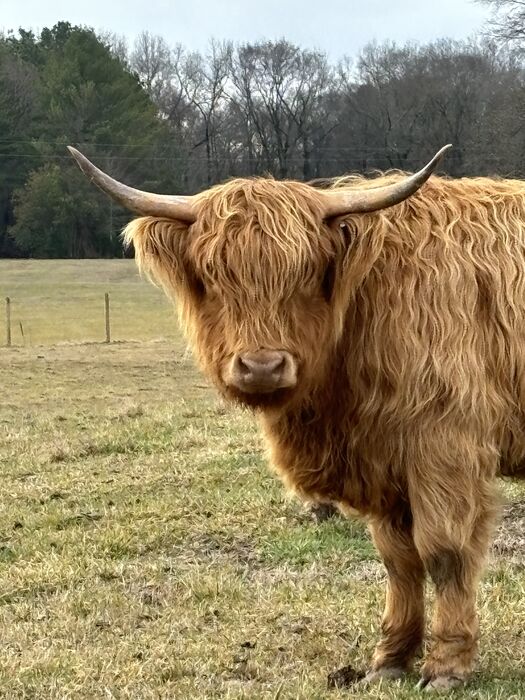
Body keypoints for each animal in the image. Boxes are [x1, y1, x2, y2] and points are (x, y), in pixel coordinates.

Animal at [69, 144, 525, 692]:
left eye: (306, 274)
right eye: (212, 276)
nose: (262, 366)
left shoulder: (445, 448)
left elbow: (443, 552)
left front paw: (447, 665)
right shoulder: (385, 459)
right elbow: (399, 560)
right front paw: (390, 659)